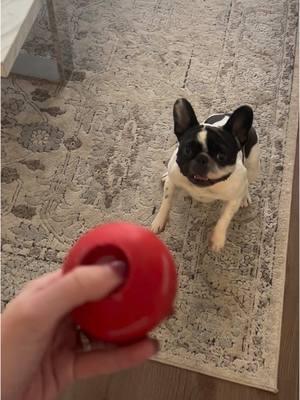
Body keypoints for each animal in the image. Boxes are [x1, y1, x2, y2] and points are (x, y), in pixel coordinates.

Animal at [151, 98, 258, 252]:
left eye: (221, 156)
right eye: (187, 150)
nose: (202, 158)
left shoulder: (232, 200)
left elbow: (224, 218)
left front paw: (217, 239)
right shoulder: (172, 182)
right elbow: (166, 202)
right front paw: (159, 221)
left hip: (254, 163)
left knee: (248, 180)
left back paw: (245, 197)